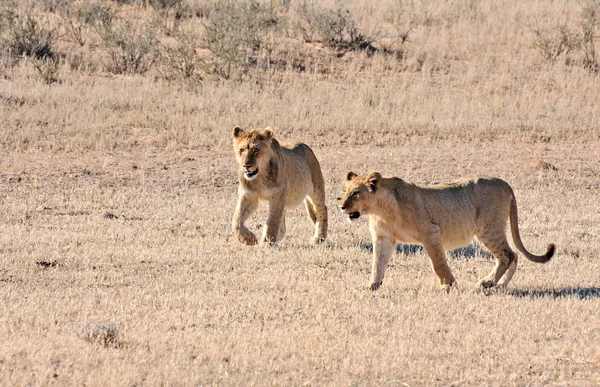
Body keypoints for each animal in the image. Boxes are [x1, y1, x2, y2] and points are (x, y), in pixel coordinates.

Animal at [340, 173, 556, 292]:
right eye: (345, 191)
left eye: (356, 193)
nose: (342, 206)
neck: (380, 210)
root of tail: (504, 183)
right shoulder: (383, 238)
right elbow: (378, 263)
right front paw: (372, 286)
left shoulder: (431, 232)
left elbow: (438, 263)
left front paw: (449, 285)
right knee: (514, 255)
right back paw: (501, 285)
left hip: (488, 229)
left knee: (507, 256)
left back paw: (486, 283)